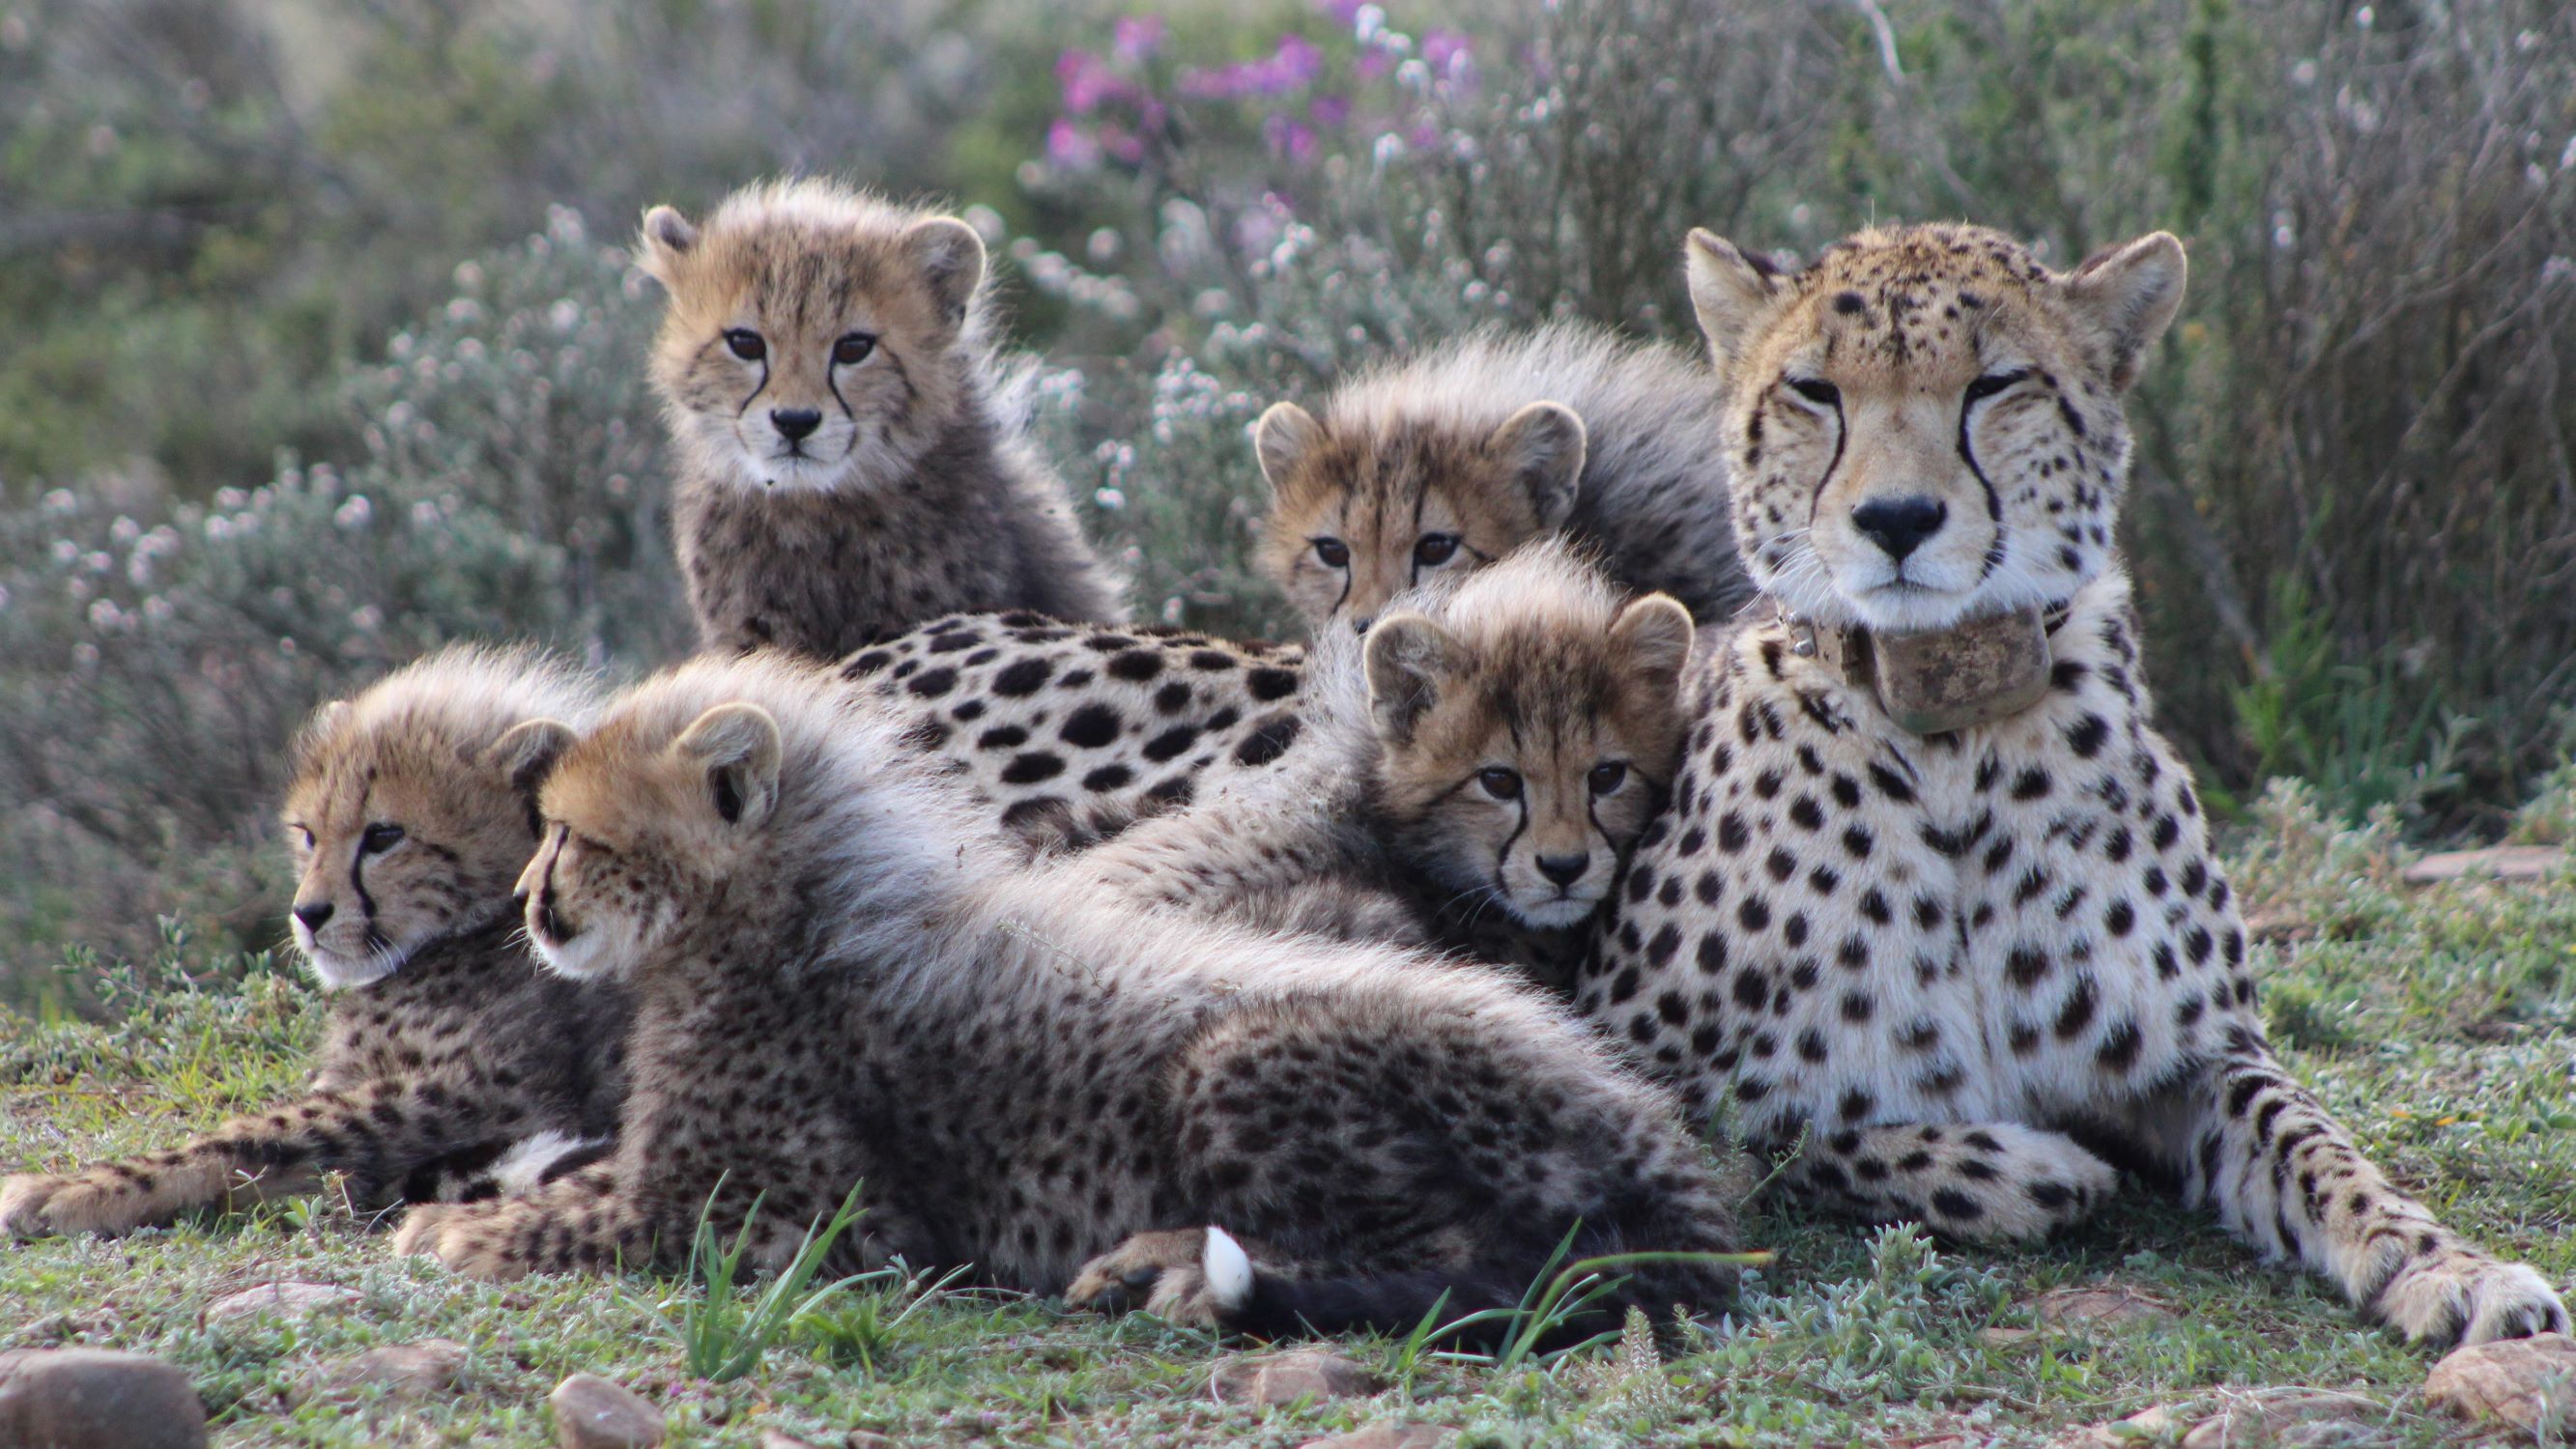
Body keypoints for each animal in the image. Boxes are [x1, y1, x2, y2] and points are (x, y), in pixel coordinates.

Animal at [0, 647, 632, 1237]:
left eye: (384, 836)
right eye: (308, 835)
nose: (307, 914)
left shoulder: (489, 1094)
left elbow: (256, 1133)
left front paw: (69, 1190)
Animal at [391, 650, 1742, 1340]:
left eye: (570, 834)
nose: (530, 901)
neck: (787, 913)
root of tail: (1657, 1139)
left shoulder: (801, 1229)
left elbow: (573, 1224)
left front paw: (449, 1232)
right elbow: (572, 1187)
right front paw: (478, 1197)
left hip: (1233, 1060)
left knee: (1476, 1264)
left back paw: (1173, 1268)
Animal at [1580, 220, 2569, 1350]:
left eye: (1993, 385)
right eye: (1814, 392)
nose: (1896, 518)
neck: (1946, 730)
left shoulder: (2199, 1056)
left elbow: (2318, 1145)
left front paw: (2445, 1263)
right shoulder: (1630, 1061)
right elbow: (1796, 1134)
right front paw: (2020, 1162)